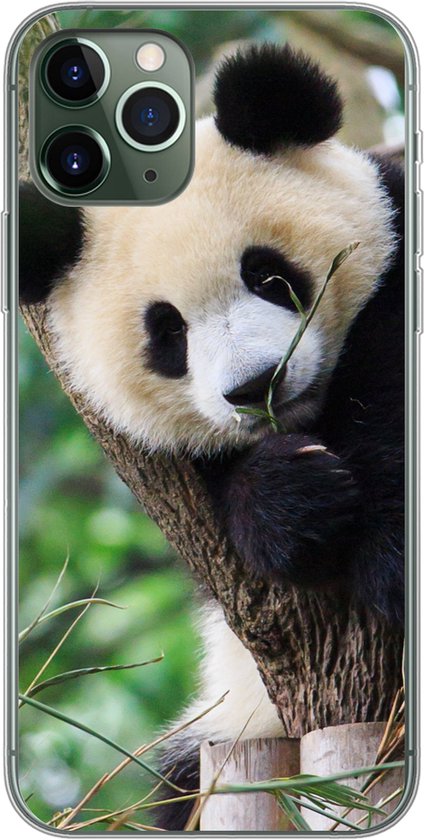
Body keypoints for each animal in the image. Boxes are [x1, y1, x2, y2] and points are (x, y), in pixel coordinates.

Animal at [20, 45, 404, 831]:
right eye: (168, 333)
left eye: (267, 273)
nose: (258, 386)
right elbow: (217, 523)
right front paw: (292, 500)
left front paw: (390, 558)